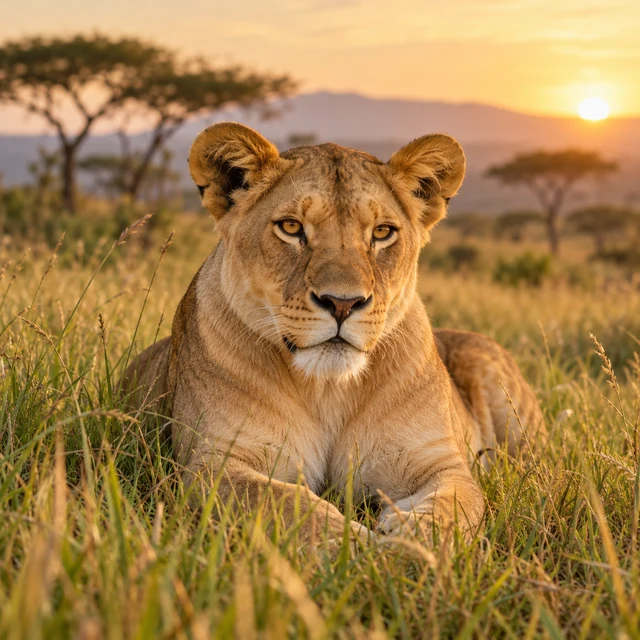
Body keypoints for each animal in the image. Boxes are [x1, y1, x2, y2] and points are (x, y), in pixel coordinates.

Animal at [122, 122, 544, 544]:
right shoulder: (213, 465)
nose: (343, 303)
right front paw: (358, 547)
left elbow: (452, 510)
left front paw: (408, 543)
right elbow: (287, 506)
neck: (328, 390)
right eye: (291, 227)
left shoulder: (438, 462)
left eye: (383, 232)